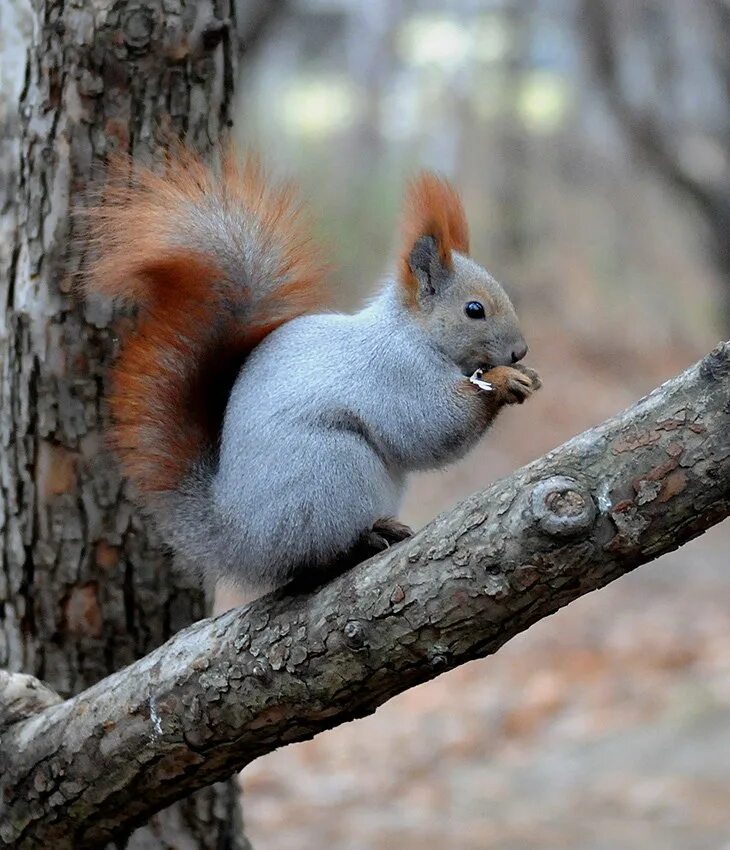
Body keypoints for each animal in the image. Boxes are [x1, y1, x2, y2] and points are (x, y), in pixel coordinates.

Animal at [85, 146, 540, 596]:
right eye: (474, 309)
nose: (520, 350)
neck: (413, 333)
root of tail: (236, 540)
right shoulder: (394, 373)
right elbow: (431, 426)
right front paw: (504, 381)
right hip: (330, 473)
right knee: (310, 560)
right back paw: (363, 541)